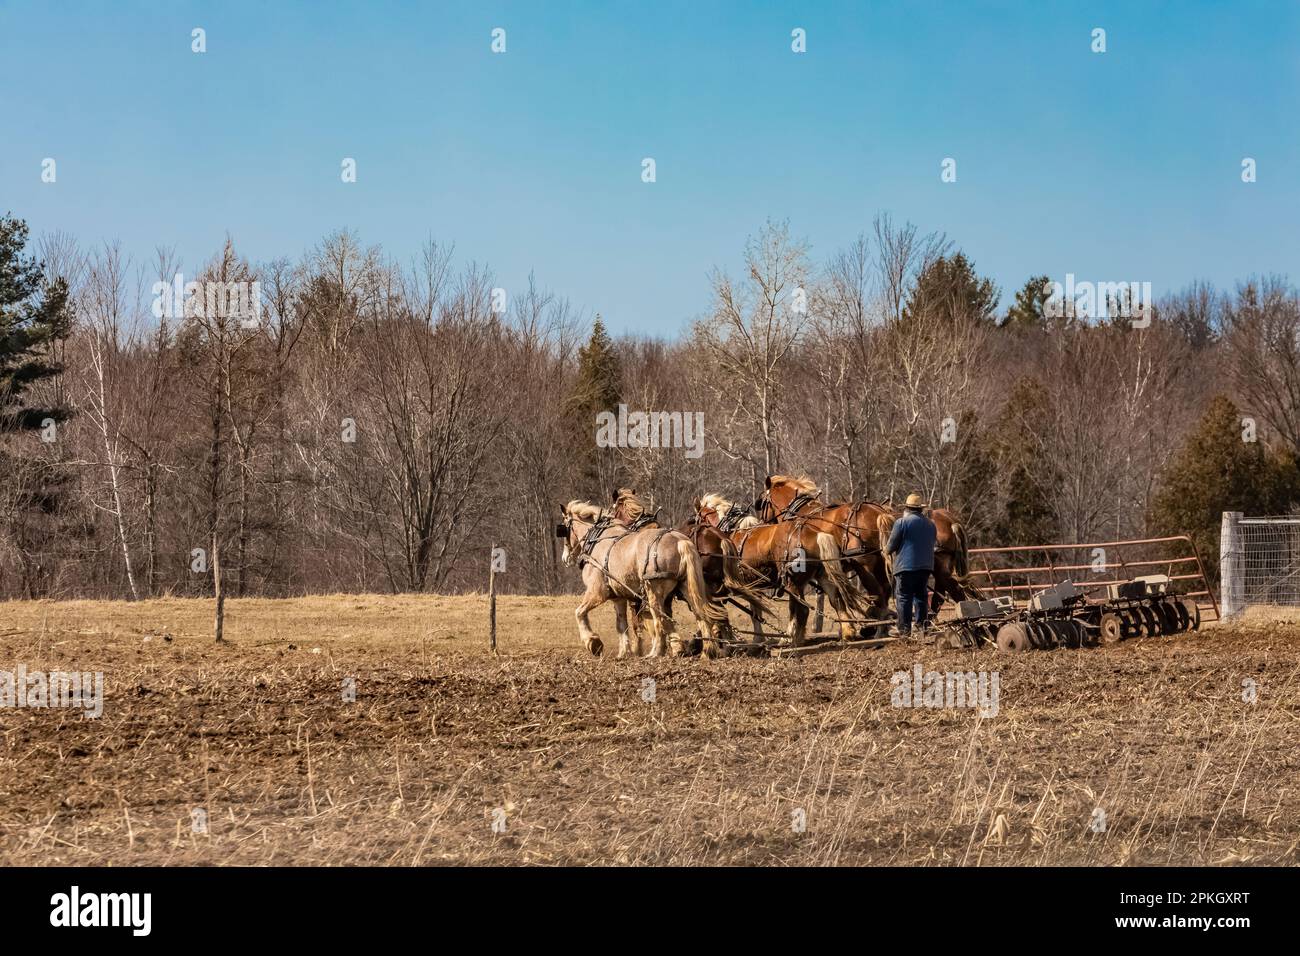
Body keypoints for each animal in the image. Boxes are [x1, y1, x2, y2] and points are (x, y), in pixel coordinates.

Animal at [559, 500, 730, 658]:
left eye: (564, 529)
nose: (565, 558)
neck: (598, 540)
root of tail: (679, 541)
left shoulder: (597, 592)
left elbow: (579, 612)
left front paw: (593, 643)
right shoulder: (618, 597)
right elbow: (621, 625)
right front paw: (624, 653)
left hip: (653, 591)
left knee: (659, 620)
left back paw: (655, 652)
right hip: (687, 587)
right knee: (700, 615)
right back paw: (707, 651)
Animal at [695, 492, 876, 647]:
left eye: (697, 519)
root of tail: (815, 534)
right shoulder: (753, 586)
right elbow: (756, 612)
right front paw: (758, 638)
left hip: (793, 581)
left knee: (801, 609)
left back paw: (790, 639)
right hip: (822, 577)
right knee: (836, 600)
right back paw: (847, 632)